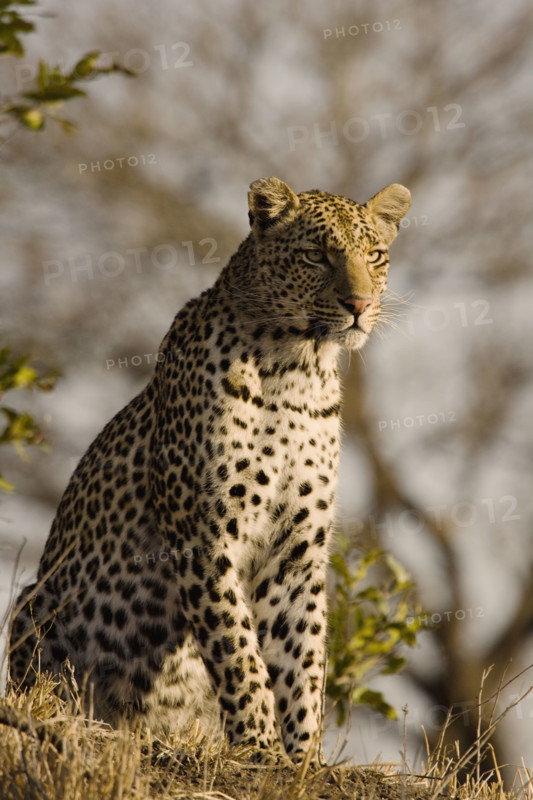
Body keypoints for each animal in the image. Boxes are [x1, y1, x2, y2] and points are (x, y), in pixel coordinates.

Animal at [8, 176, 410, 761]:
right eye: (316, 255)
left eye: (374, 256)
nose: (359, 304)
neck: (298, 369)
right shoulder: (204, 534)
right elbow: (238, 649)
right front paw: (261, 747)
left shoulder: (296, 548)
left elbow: (302, 657)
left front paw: (303, 759)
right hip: (34, 602)